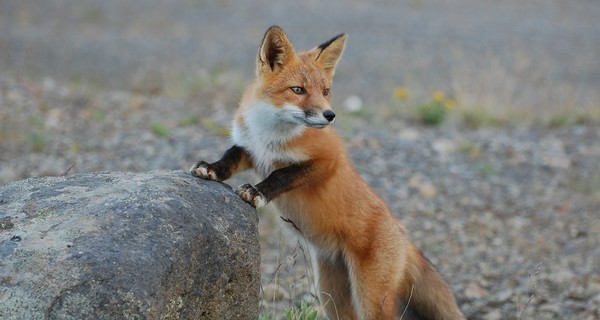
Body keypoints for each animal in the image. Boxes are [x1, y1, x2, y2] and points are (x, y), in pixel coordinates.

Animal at [190, 25, 462, 320]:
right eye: (298, 89)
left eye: (325, 91)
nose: (330, 115)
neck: (270, 135)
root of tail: (404, 236)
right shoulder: (251, 149)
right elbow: (229, 157)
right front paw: (211, 168)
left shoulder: (328, 160)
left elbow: (281, 175)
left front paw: (257, 191)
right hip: (331, 294)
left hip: (370, 298)